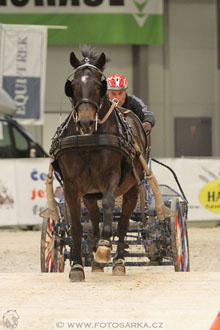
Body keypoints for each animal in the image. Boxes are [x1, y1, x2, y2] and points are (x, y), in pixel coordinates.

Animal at [52, 46, 147, 282]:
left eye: (98, 85)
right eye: (73, 86)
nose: (85, 122)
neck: (88, 139)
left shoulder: (110, 176)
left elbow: (109, 204)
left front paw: (105, 248)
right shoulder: (72, 185)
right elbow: (77, 226)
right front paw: (77, 266)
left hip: (132, 188)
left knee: (122, 223)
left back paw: (118, 261)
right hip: (88, 194)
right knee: (94, 221)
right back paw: (94, 259)